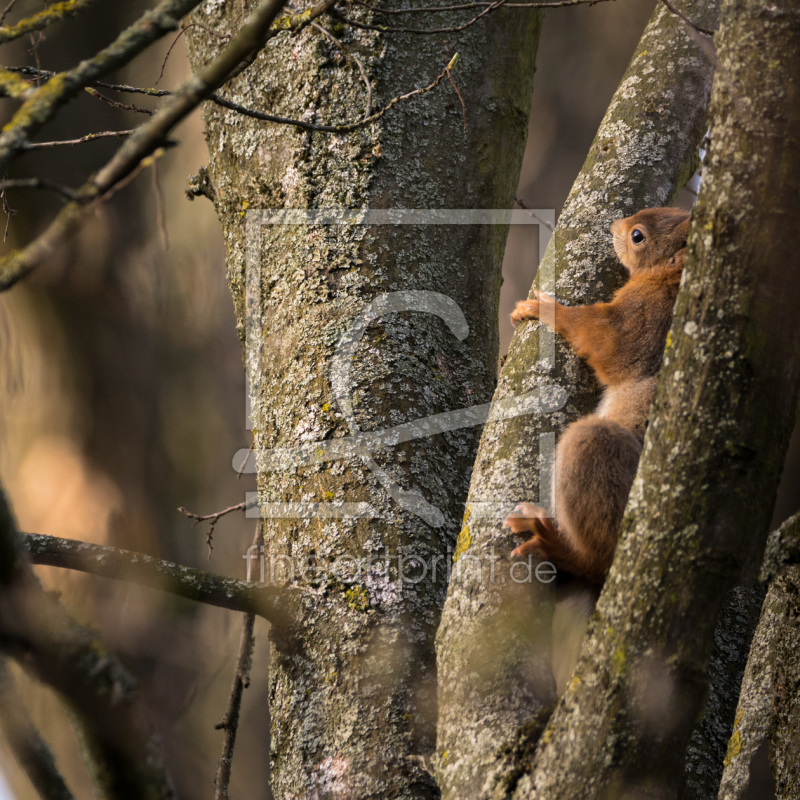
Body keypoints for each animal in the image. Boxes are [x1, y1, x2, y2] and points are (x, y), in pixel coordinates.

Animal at [506, 208, 688, 588]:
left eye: (637, 236)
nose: (613, 226)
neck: (673, 276)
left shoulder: (647, 318)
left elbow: (607, 343)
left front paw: (546, 309)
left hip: (601, 457)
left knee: (596, 562)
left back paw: (555, 545)